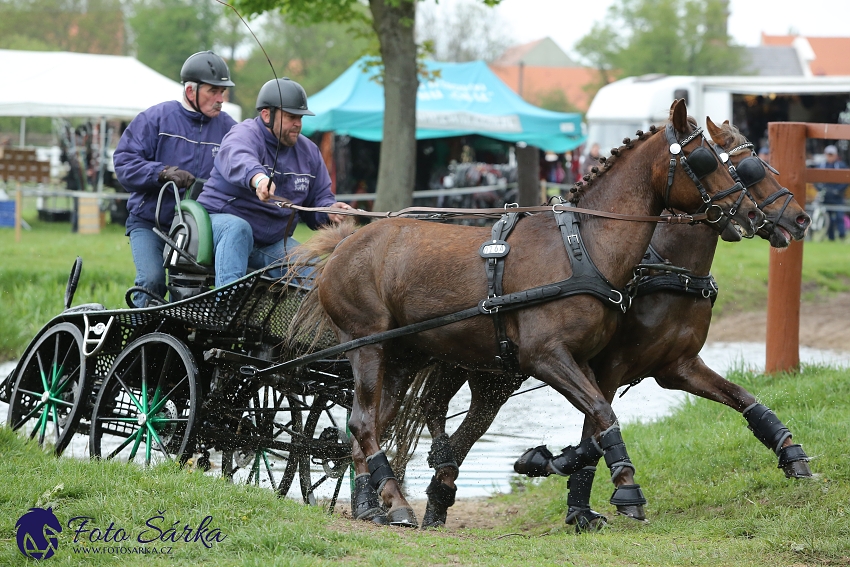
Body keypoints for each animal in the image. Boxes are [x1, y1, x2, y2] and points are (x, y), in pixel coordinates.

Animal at [294, 98, 760, 528]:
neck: (582, 248)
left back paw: (375, 504)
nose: (751, 211)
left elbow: (595, 421)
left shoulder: (587, 360)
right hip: (367, 346)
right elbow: (603, 413)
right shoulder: (545, 357)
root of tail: (345, 244)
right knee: (363, 424)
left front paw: (551, 464)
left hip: (403, 356)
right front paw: (627, 488)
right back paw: (396, 502)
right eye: (705, 159)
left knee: (373, 423)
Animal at [414, 117, 812, 532]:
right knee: (443, 419)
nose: (800, 219)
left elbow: (744, 398)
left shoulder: (678, 367)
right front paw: (582, 495)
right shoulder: (607, 370)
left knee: (459, 433)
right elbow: (596, 430)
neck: (666, 267)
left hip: (492, 380)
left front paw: (790, 452)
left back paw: (435, 505)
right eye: (746, 169)